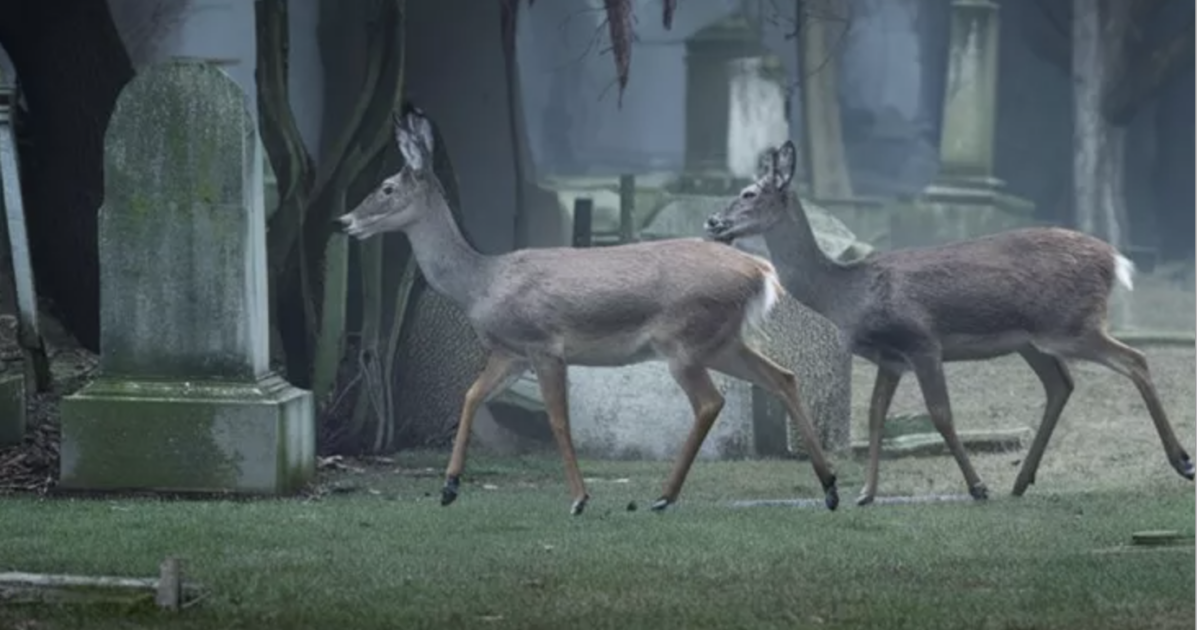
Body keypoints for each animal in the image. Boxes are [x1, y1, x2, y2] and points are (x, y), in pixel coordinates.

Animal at [333, 105, 840, 513]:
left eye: (386, 186)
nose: (343, 221)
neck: (480, 283)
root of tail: (762, 272)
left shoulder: (543, 345)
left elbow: (558, 419)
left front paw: (579, 499)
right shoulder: (511, 353)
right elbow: (472, 395)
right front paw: (448, 487)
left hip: (685, 339)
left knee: (711, 402)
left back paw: (664, 495)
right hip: (723, 341)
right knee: (782, 377)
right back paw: (830, 486)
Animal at [700, 137, 1190, 506]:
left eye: (749, 193)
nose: (712, 222)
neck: (846, 294)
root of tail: (1115, 261)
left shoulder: (922, 342)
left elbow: (940, 415)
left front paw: (977, 486)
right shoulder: (890, 358)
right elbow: (875, 417)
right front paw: (866, 493)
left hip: (1071, 324)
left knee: (1135, 360)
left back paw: (1182, 460)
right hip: (1033, 340)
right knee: (1061, 384)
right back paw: (1021, 481)